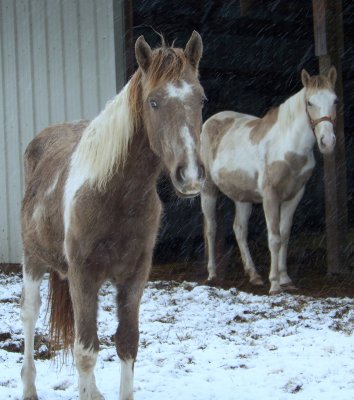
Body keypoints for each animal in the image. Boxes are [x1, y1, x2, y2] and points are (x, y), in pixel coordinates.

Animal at [20, 32, 205, 400]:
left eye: (201, 99)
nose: (190, 175)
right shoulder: (83, 274)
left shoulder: (134, 276)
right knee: (30, 315)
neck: (115, 195)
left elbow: (126, 344)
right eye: (153, 102)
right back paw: (29, 388)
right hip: (33, 259)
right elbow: (85, 352)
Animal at [202, 67, 338, 294]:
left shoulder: (294, 196)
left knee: (240, 229)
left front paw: (286, 279)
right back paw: (212, 274)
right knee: (211, 228)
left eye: (335, 100)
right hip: (208, 189)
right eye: (310, 102)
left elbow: (284, 235)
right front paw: (274, 284)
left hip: (243, 197)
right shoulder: (270, 196)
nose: (327, 142)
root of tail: (209, 122)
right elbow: (274, 238)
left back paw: (254, 275)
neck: (287, 146)